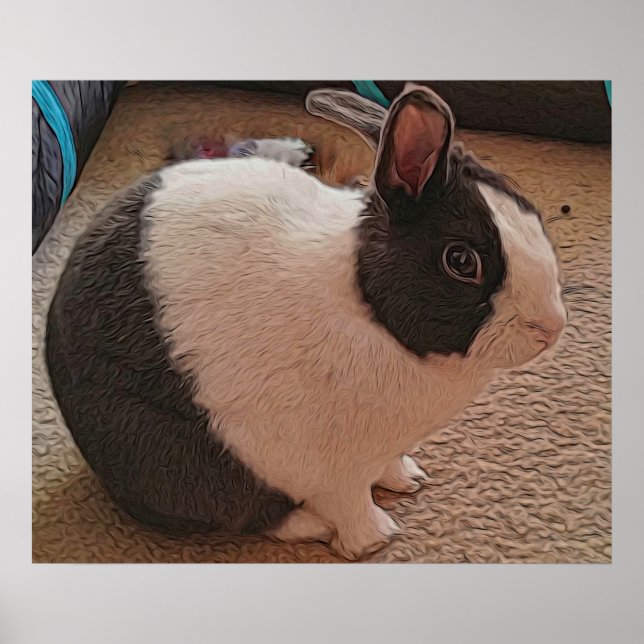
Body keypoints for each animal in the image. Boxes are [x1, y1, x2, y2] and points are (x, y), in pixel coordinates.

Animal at [46, 83, 567, 560]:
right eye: (461, 261)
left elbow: (387, 470)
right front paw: (376, 539)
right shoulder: (331, 469)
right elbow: (350, 503)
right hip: (175, 458)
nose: (550, 329)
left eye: (530, 211)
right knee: (244, 513)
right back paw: (310, 525)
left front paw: (409, 480)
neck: (371, 310)